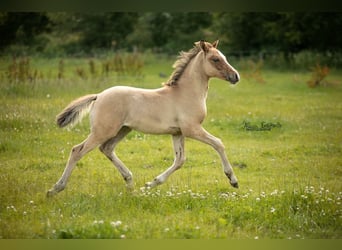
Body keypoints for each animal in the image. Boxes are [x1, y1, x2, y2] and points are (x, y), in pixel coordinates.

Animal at [46, 40, 239, 197]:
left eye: (223, 57)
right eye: (215, 59)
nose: (235, 76)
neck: (185, 93)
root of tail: (98, 95)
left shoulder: (177, 133)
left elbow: (179, 161)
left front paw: (149, 184)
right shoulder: (192, 129)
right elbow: (218, 143)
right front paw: (233, 180)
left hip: (122, 129)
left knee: (106, 149)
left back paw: (130, 182)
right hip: (103, 131)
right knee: (77, 151)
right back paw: (55, 189)